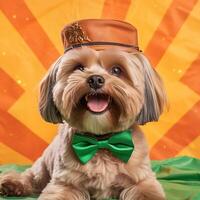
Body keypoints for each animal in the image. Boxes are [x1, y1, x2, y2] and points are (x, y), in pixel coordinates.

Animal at [0, 19, 166, 200]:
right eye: (79, 68)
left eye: (116, 70)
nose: (95, 79)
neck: (101, 142)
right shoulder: (64, 183)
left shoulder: (142, 181)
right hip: (43, 166)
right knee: (31, 176)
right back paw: (13, 184)